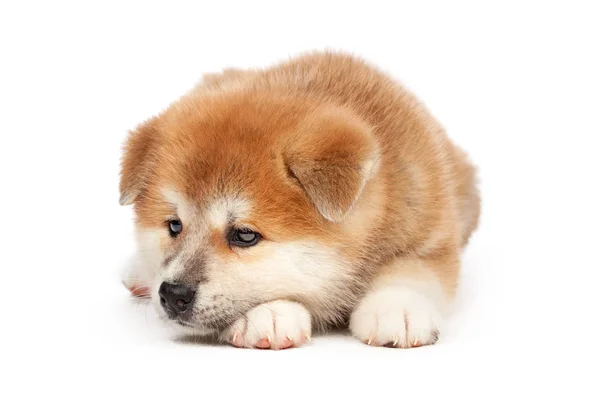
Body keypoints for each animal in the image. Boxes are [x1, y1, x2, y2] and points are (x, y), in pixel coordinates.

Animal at [119, 50, 480, 350]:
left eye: (245, 235)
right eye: (174, 225)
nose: (172, 294)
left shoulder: (433, 232)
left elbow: (412, 269)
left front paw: (396, 309)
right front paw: (268, 313)